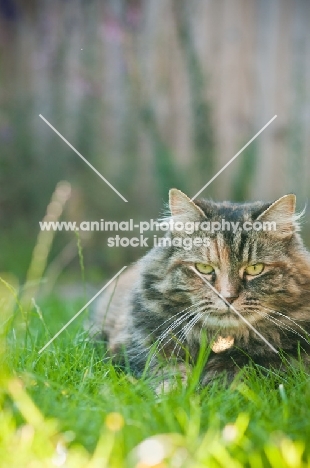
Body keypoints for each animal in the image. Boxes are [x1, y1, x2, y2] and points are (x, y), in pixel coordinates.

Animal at [91, 188, 310, 390]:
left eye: (255, 269)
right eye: (204, 268)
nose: (228, 297)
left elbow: (244, 370)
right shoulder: (137, 348)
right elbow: (168, 371)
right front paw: (173, 394)